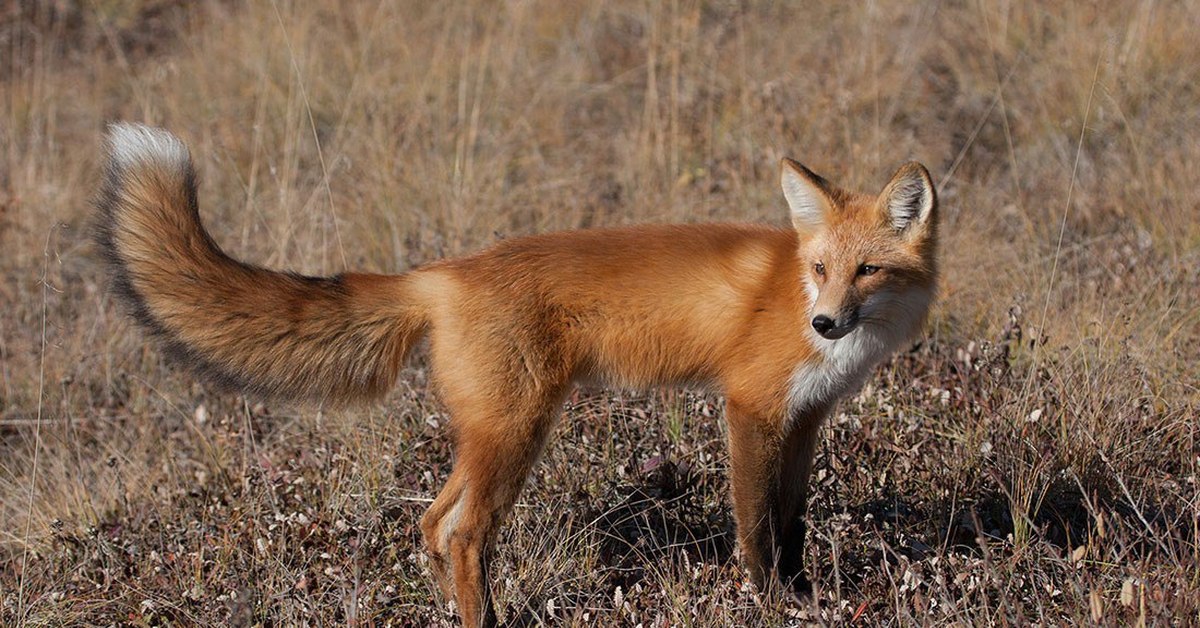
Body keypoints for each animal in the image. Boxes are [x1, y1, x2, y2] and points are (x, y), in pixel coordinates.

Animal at [93, 124, 936, 628]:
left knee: (431, 524)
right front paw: (767, 603)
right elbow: (756, 529)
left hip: (494, 434)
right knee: (463, 533)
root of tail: (438, 273)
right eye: (820, 270)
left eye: (867, 271)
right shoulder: (750, 410)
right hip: (518, 432)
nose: (825, 324)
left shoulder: (804, 421)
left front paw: (804, 597)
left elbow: (792, 523)